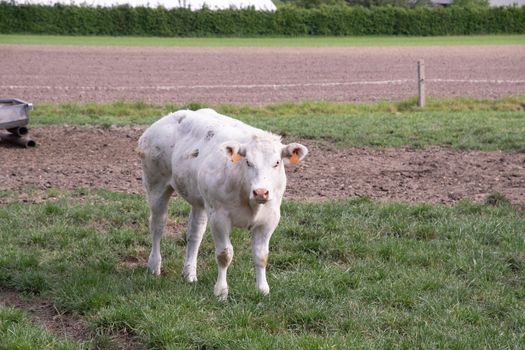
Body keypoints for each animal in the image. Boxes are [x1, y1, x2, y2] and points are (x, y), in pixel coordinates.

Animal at [137, 108, 308, 300]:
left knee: (195, 233)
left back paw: (189, 274)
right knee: (158, 225)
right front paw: (221, 291)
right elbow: (224, 254)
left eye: (277, 163)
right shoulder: (219, 217)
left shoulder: (270, 218)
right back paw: (154, 266)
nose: (261, 192)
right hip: (156, 185)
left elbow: (261, 255)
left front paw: (262, 289)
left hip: (200, 201)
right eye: (248, 162)